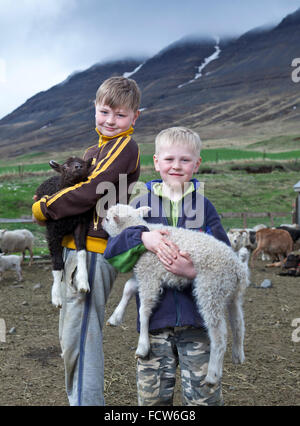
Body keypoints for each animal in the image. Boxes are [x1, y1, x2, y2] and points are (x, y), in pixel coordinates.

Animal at [34, 156, 92, 306]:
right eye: (65, 167)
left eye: (83, 164)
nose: (78, 167)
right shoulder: (52, 232)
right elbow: (57, 262)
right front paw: (56, 297)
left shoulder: (80, 223)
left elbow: (81, 251)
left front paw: (83, 282)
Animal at [102, 203, 248, 386]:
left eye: (108, 219)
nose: (101, 222)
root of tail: (238, 268)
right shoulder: (147, 274)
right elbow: (128, 287)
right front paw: (115, 317)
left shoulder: (149, 275)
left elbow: (143, 311)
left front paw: (142, 346)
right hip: (231, 293)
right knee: (238, 322)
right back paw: (238, 354)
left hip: (210, 290)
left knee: (219, 336)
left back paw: (212, 375)